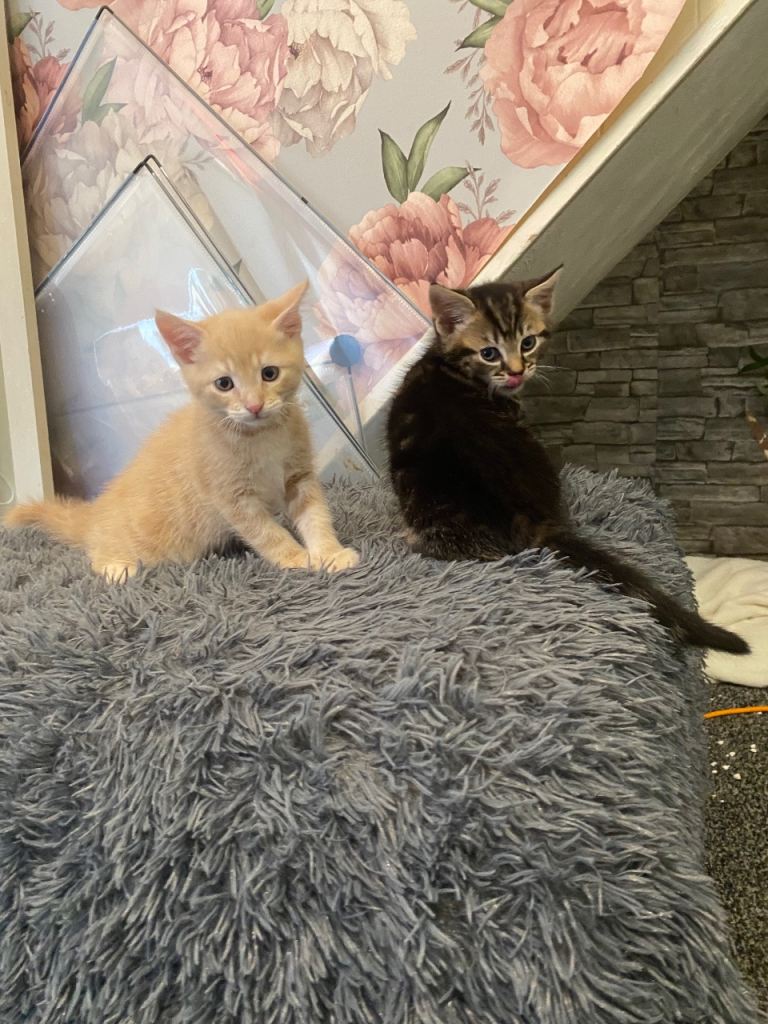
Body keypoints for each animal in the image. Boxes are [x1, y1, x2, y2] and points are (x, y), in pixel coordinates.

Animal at [6, 281, 359, 581]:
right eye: (224, 383)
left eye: (269, 373)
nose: (254, 405)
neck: (260, 437)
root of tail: (96, 512)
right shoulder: (230, 496)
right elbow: (266, 532)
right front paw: (295, 557)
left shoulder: (299, 475)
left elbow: (316, 514)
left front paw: (330, 552)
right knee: (98, 550)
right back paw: (115, 566)